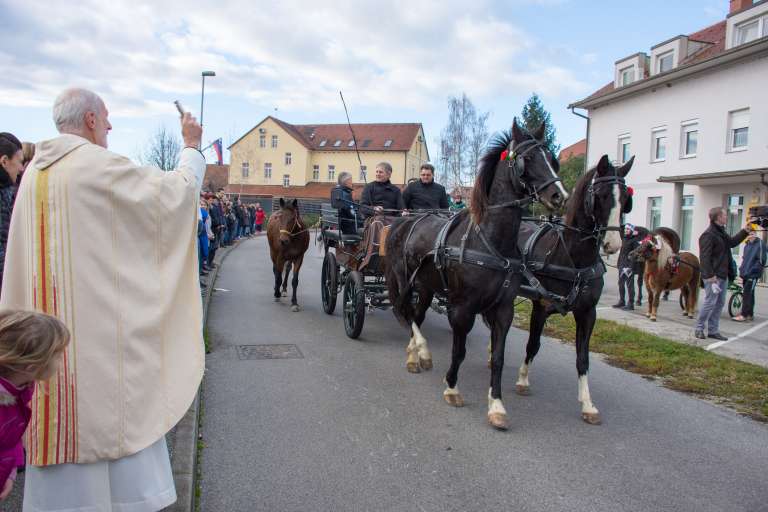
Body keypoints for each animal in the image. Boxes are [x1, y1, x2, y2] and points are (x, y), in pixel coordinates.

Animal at [512, 155, 632, 424]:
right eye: (601, 195)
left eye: (626, 200)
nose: (613, 244)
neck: (572, 259)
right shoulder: (541, 306)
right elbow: (533, 344)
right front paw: (523, 380)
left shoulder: (587, 313)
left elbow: (583, 358)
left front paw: (587, 404)